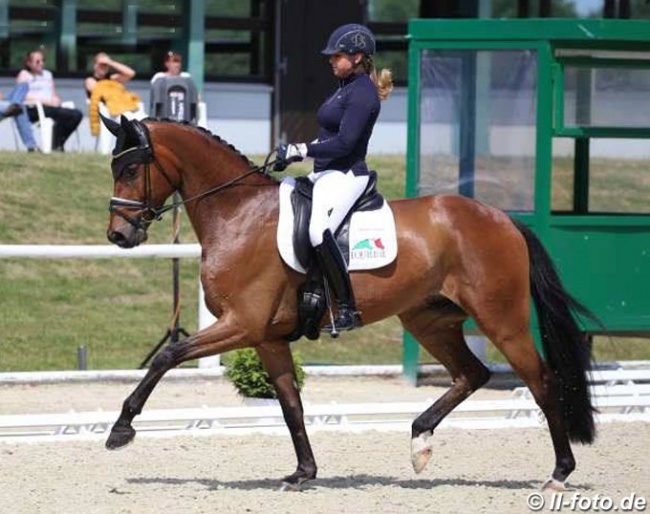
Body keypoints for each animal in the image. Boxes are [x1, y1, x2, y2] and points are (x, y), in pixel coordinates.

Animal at [104, 115, 596, 488]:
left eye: (129, 171)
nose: (119, 235)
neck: (237, 214)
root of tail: (504, 219)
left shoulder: (240, 324)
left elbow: (167, 356)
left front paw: (121, 429)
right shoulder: (266, 337)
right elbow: (291, 405)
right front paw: (303, 472)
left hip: (502, 320)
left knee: (541, 381)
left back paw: (560, 472)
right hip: (428, 320)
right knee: (473, 373)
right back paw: (419, 442)